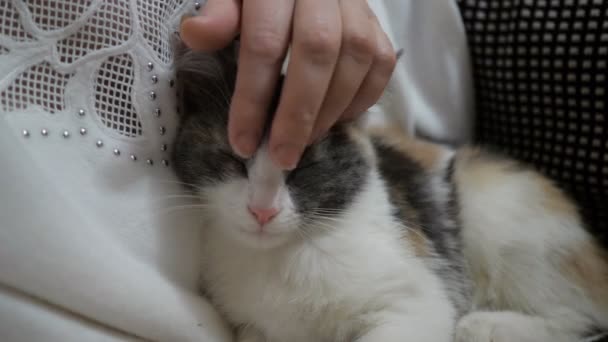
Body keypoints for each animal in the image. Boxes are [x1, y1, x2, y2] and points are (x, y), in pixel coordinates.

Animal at [170, 38, 608, 342]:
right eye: (233, 156)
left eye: (304, 166)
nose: (263, 210)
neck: (282, 256)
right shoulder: (251, 326)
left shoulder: (417, 299)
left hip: (499, 210)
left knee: (582, 318)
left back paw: (487, 325)